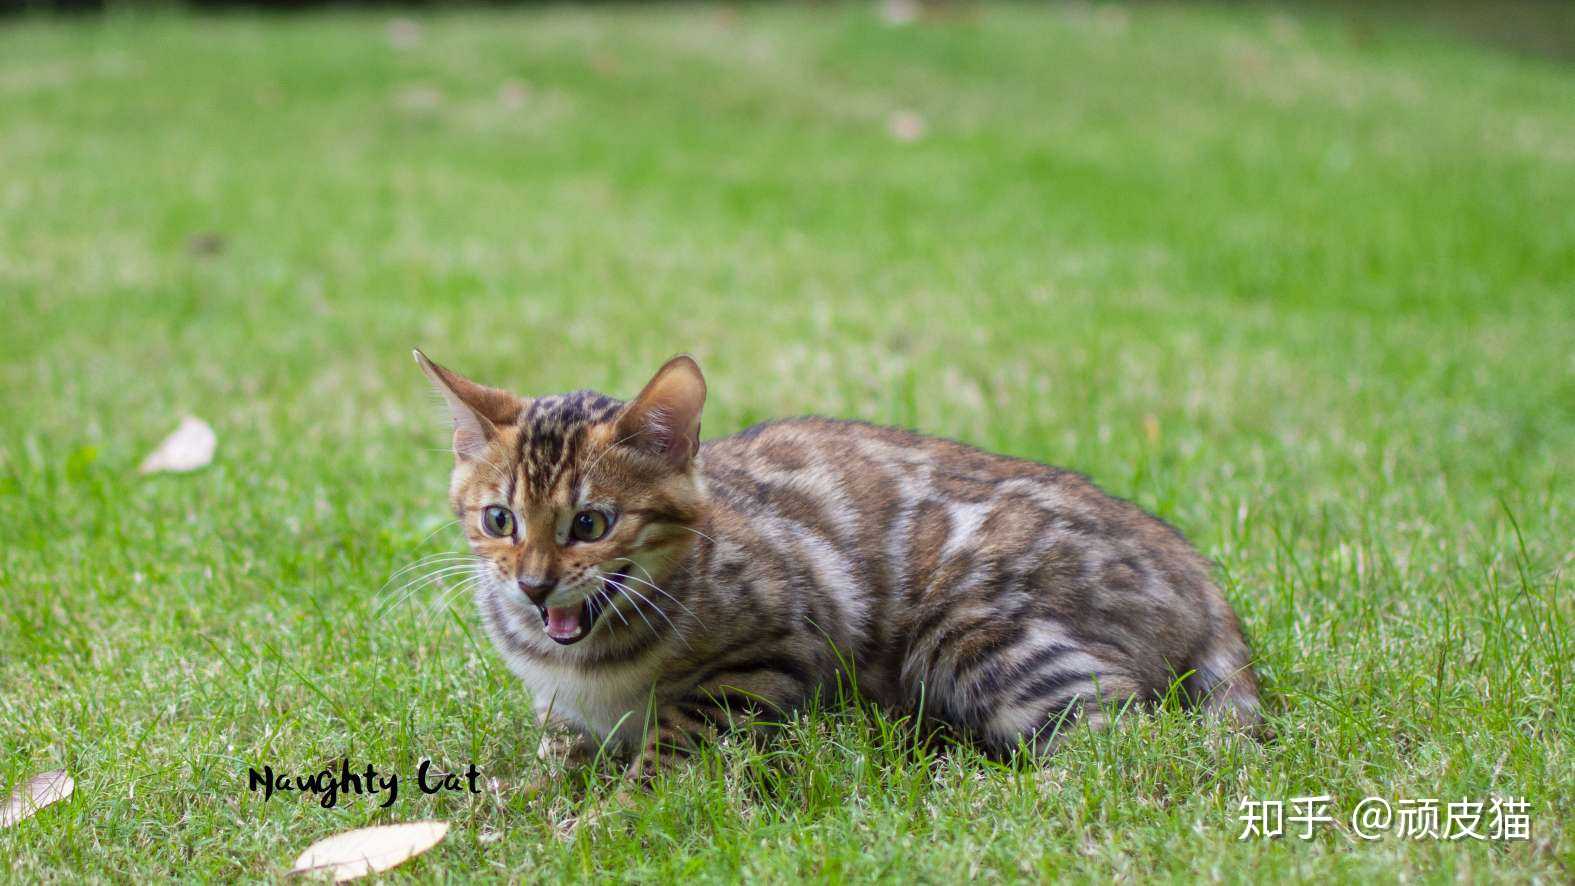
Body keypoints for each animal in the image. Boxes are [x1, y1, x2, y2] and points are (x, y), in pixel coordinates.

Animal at [412, 350, 1260, 780]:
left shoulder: (771, 650)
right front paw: (514, 795)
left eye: (590, 523)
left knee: (1133, 747)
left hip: (975, 635)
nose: (533, 584)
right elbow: (554, 754)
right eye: (499, 520)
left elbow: (673, 750)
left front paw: (611, 818)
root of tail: (1191, 565)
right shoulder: (563, 711)